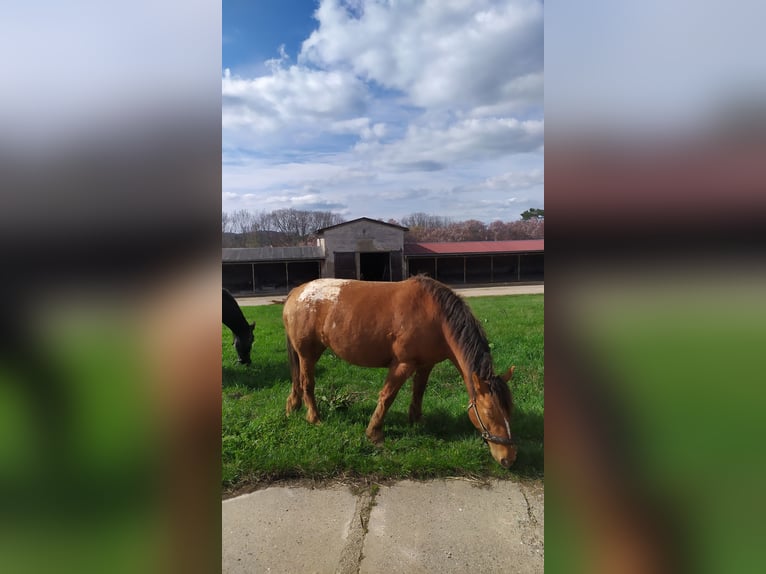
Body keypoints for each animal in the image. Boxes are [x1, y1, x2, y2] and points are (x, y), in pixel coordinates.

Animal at [280, 276, 516, 470]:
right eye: (489, 413)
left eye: (509, 409)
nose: (509, 458)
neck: (436, 316)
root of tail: (297, 291)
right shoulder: (403, 364)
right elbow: (387, 396)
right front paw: (374, 433)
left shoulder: (425, 364)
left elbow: (418, 392)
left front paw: (416, 421)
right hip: (307, 354)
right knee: (306, 382)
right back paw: (314, 418)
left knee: (297, 381)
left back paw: (293, 406)